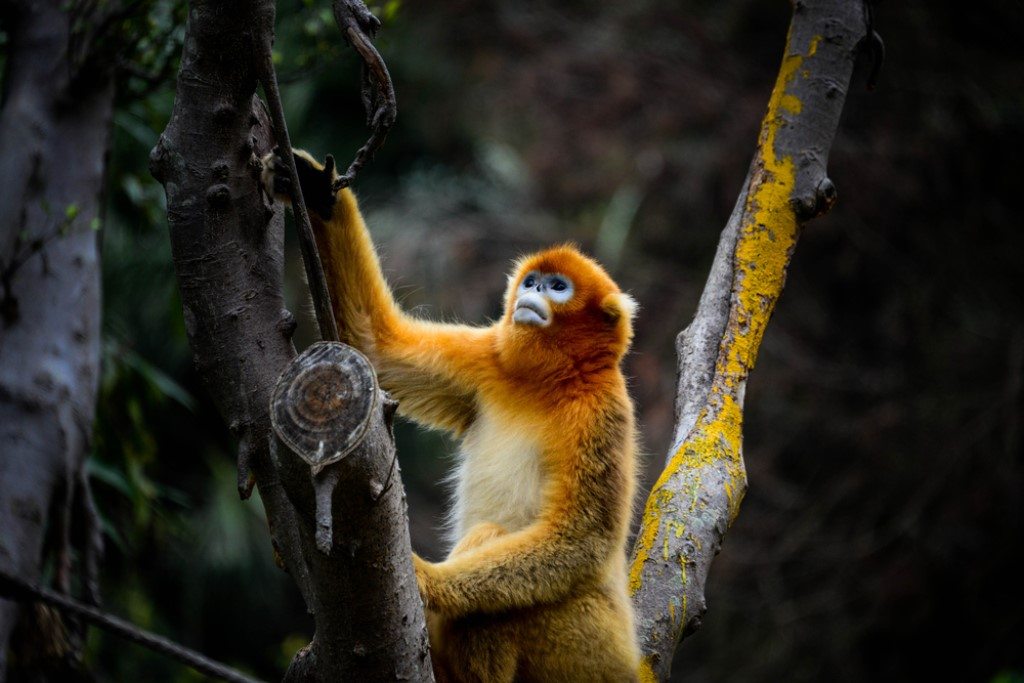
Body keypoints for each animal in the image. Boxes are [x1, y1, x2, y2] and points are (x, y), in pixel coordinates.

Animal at [264, 150, 638, 683]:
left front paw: (427, 579)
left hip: (588, 647)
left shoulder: (604, 412)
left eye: (558, 287)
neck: (548, 383)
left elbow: (579, 540)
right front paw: (314, 188)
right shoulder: (489, 359)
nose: (532, 293)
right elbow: (377, 345)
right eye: (532, 282)